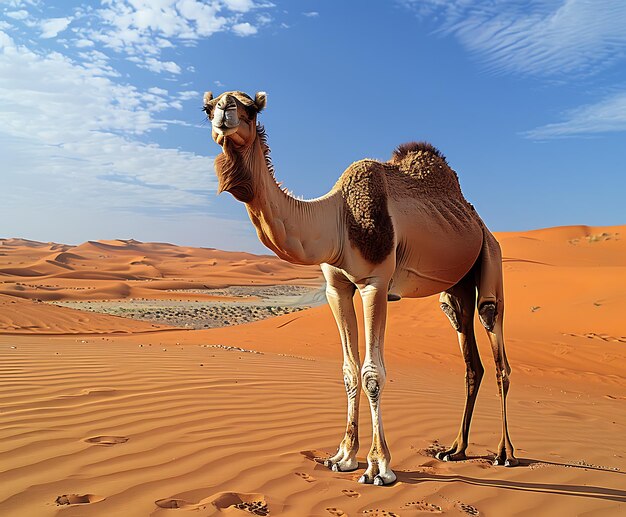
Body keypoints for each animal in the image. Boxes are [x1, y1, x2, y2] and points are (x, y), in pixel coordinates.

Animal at [205, 89, 516, 484]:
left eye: (251, 109)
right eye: (207, 108)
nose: (224, 110)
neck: (336, 219)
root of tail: (478, 220)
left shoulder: (375, 284)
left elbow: (372, 373)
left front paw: (379, 467)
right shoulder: (336, 287)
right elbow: (349, 371)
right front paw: (342, 457)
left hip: (491, 255)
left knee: (496, 342)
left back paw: (505, 454)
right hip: (456, 287)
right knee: (470, 356)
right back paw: (455, 450)